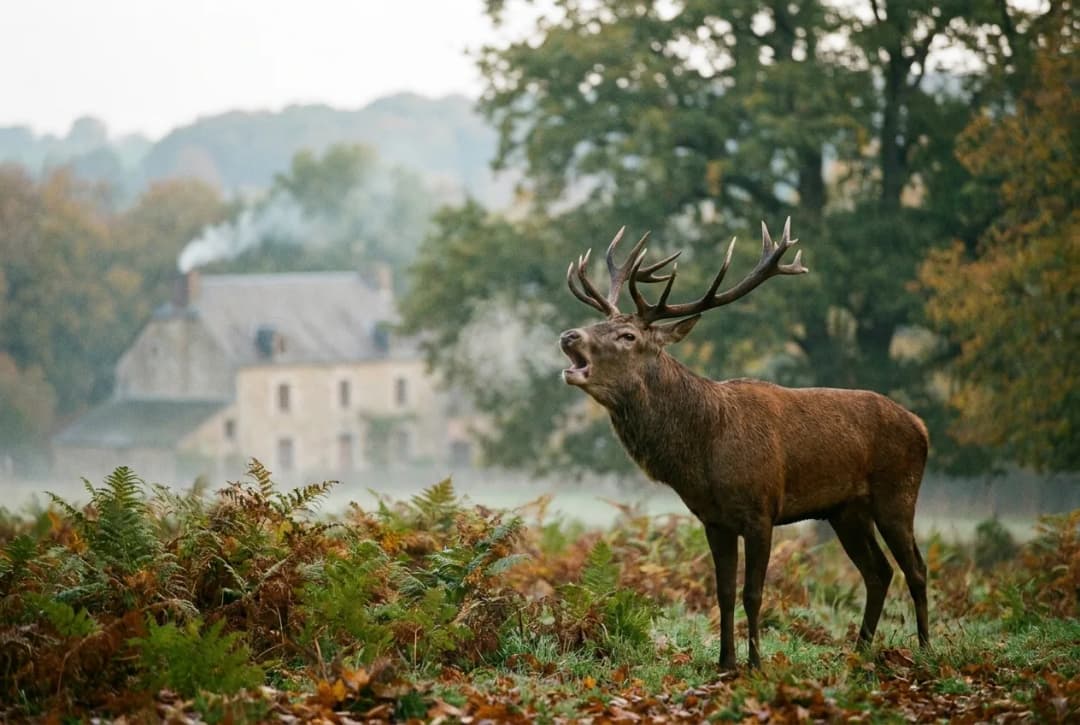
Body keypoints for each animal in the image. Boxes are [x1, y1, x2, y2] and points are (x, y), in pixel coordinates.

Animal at [559, 219, 929, 670]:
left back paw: (926, 649)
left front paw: (755, 664)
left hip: (898, 494)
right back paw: (859, 652)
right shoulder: (714, 520)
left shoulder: (760, 511)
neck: (703, 451)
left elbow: (753, 593)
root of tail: (921, 425)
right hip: (846, 511)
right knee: (878, 572)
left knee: (915, 569)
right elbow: (723, 593)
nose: (569, 335)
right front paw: (725, 663)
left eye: (628, 335)